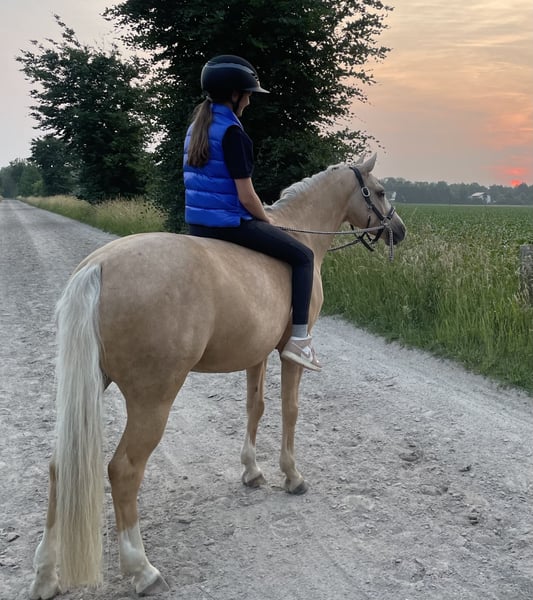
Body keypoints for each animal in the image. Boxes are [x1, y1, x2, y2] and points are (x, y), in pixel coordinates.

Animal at [29, 154, 406, 599]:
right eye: (379, 191)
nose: (399, 231)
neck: (300, 230)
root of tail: (97, 267)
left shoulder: (256, 354)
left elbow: (255, 407)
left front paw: (252, 471)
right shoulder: (289, 355)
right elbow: (290, 410)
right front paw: (292, 476)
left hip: (93, 387)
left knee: (59, 468)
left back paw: (46, 576)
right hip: (153, 399)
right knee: (123, 470)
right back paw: (142, 570)